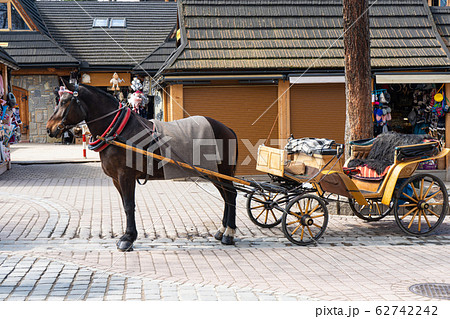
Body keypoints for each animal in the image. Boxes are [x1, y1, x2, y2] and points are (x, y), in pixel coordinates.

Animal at [45, 80, 239, 252]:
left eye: (64, 102)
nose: (49, 128)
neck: (120, 131)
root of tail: (227, 128)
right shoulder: (116, 179)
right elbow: (125, 205)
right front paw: (127, 236)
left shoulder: (126, 176)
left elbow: (129, 205)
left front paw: (128, 238)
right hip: (213, 173)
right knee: (226, 197)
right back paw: (222, 230)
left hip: (222, 171)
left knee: (231, 195)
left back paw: (229, 233)